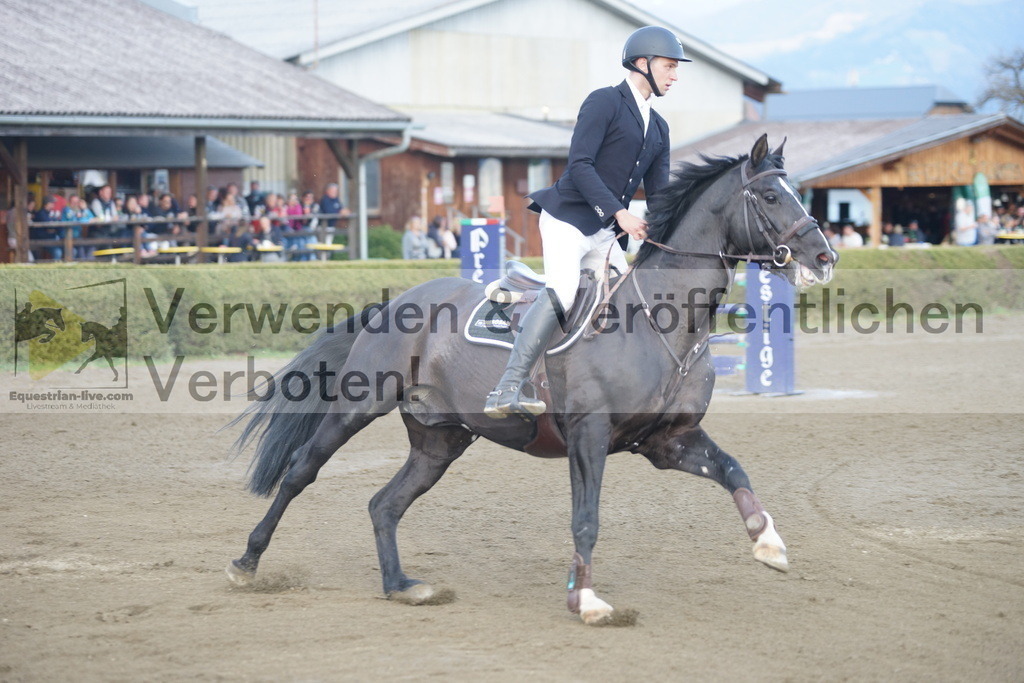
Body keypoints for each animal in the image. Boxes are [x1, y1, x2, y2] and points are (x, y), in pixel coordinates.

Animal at [228, 136, 835, 626]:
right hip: (360, 406)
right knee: (301, 471)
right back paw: (246, 562)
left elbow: (733, 470)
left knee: (385, 504)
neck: (661, 323)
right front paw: (586, 602)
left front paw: (769, 544)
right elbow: (586, 519)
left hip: (440, 439)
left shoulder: (670, 441)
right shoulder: (590, 436)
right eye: (773, 196)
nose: (824, 257)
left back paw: (401, 585)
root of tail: (394, 303)